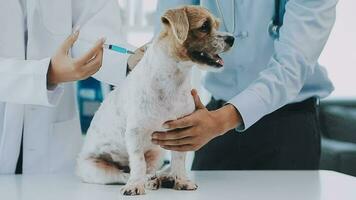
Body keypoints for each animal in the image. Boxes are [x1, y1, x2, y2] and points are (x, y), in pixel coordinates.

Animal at [76, 5, 235, 195]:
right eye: (204, 26)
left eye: (217, 24)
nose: (232, 39)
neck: (173, 81)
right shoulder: (134, 133)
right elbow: (138, 163)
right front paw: (135, 185)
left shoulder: (181, 132)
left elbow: (179, 160)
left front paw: (182, 180)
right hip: (95, 169)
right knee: (124, 173)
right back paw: (145, 181)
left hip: (156, 153)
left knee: (152, 169)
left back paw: (164, 177)